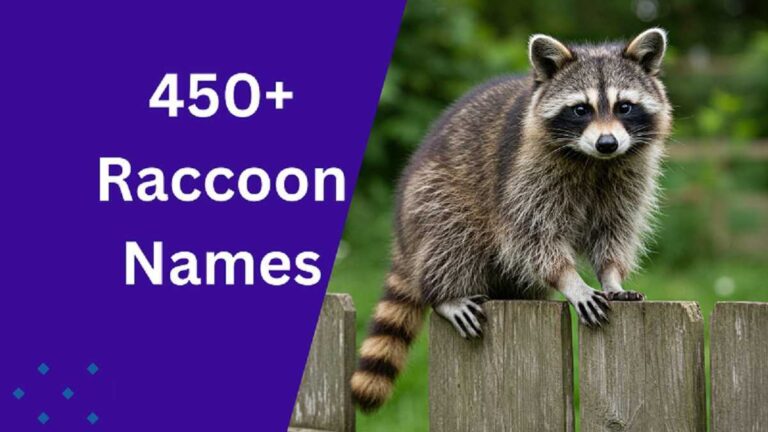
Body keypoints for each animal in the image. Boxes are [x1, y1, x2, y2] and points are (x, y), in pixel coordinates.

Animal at [351, 28, 672, 411]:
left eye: (624, 106)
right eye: (581, 109)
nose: (607, 143)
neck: (595, 162)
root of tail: (404, 236)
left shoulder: (627, 176)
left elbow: (615, 230)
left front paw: (611, 276)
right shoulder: (524, 173)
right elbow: (530, 232)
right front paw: (570, 280)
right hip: (433, 197)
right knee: (453, 236)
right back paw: (444, 293)